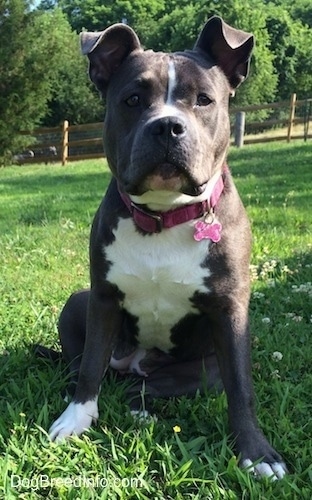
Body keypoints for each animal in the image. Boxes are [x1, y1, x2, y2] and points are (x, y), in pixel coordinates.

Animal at [39, 16, 288, 480]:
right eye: (133, 99)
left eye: (204, 100)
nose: (168, 126)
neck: (162, 215)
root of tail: (133, 365)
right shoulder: (103, 298)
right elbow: (89, 368)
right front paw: (75, 419)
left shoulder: (231, 310)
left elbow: (241, 389)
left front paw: (258, 453)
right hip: (78, 301)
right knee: (88, 366)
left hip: (203, 369)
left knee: (146, 388)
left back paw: (141, 409)